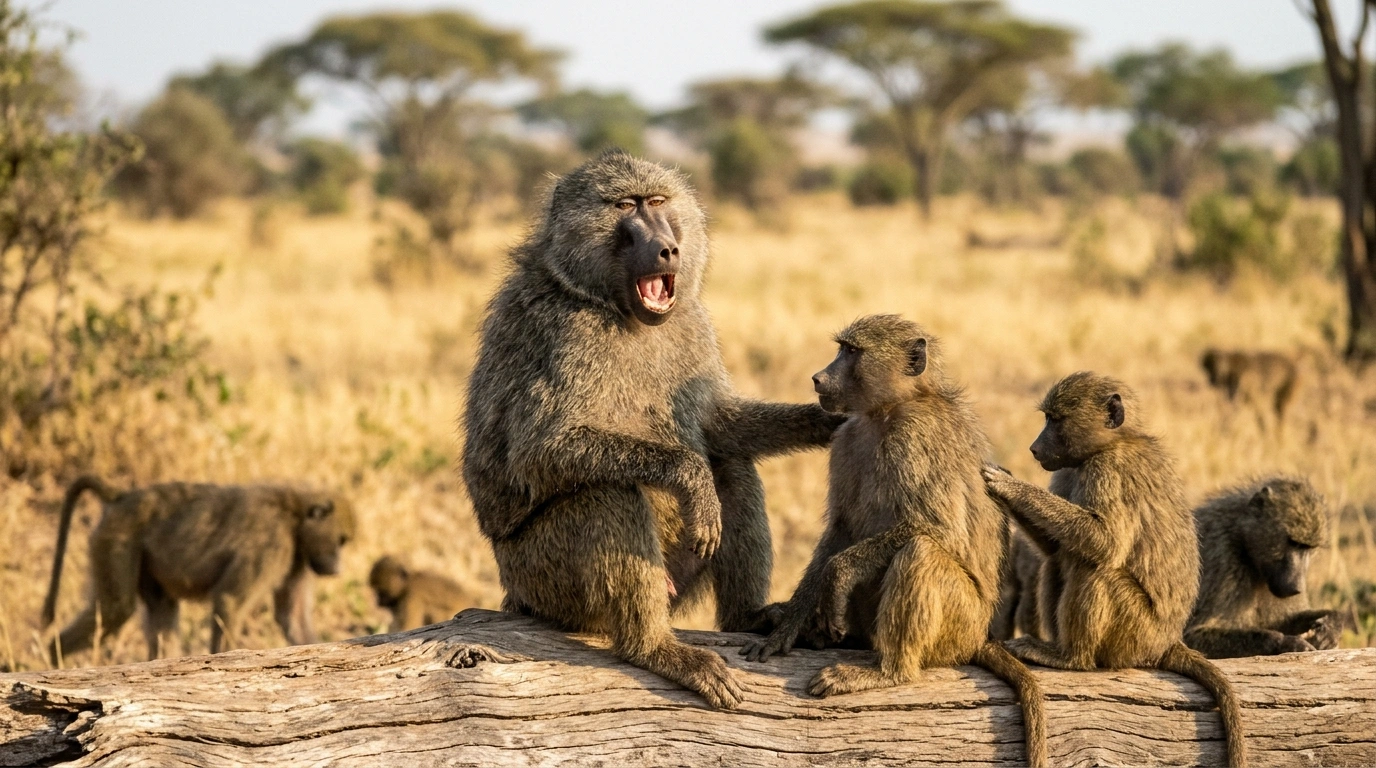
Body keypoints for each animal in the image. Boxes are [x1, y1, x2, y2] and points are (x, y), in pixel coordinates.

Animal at [43, 475, 355, 662]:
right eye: (340, 541)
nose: (338, 567)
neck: (293, 515)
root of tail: (123, 496)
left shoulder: (299, 559)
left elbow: (292, 619)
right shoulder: (272, 544)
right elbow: (230, 601)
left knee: (161, 610)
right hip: (116, 538)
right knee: (116, 608)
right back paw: (53, 657)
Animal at [461, 150, 842, 710]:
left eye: (658, 201)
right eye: (626, 206)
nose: (667, 249)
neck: (611, 305)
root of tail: (518, 595)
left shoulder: (693, 322)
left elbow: (718, 426)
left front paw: (827, 421)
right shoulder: (565, 334)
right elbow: (540, 451)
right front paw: (690, 479)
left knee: (733, 468)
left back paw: (748, 617)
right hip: (543, 579)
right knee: (607, 494)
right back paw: (655, 649)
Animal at [740, 316, 1047, 767]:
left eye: (851, 352)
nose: (818, 377)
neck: (889, 411)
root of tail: (981, 637)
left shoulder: (914, 438)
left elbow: (937, 528)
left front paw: (837, 578)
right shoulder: (846, 438)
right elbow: (840, 531)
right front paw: (789, 628)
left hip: (961, 623)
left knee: (920, 552)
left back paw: (886, 672)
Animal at [982, 372, 1247, 768]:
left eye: (1055, 420)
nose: (1033, 449)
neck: (1114, 441)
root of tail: (1167, 641)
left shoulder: (1107, 471)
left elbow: (1104, 542)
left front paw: (1008, 485)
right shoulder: (1071, 468)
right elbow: (1055, 547)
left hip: (1135, 633)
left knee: (1093, 567)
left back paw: (1070, 659)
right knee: (1059, 560)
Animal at [1185, 477, 1343, 658]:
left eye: (1308, 548)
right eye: (1293, 543)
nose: (1296, 588)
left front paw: (1331, 625)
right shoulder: (1220, 558)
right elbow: (1193, 637)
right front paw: (1287, 644)